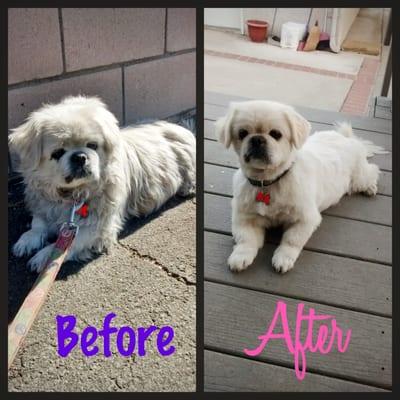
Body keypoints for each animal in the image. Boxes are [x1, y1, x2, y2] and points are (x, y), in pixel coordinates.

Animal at [9, 96, 197, 272]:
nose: (80, 156)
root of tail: (184, 130)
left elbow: (67, 244)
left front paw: (44, 257)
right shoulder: (45, 206)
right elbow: (38, 224)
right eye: (58, 153)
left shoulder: (98, 229)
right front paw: (27, 239)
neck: (73, 193)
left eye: (92, 145)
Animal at [217, 101, 386, 274]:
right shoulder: (245, 219)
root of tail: (346, 137)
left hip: (359, 177)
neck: (268, 181)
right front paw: (240, 257)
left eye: (276, 134)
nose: (257, 139)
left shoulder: (306, 219)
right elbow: (246, 240)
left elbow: (292, 240)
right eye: (242, 133)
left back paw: (370, 187)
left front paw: (283, 258)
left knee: (372, 171)